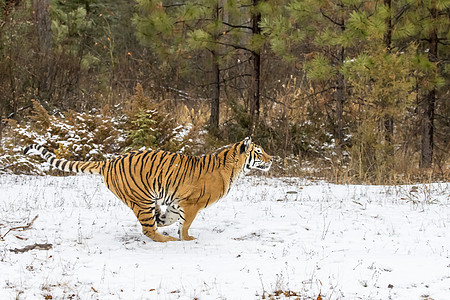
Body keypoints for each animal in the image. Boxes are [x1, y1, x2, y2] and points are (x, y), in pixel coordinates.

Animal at [24, 137, 272, 243]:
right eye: (259, 152)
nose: (272, 159)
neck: (234, 167)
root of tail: (108, 162)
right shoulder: (192, 203)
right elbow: (185, 225)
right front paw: (186, 238)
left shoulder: (176, 202)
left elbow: (172, 218)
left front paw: (163, 220)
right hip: (141, 199)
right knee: (147, 230)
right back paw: (165, 240)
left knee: (149, 226)